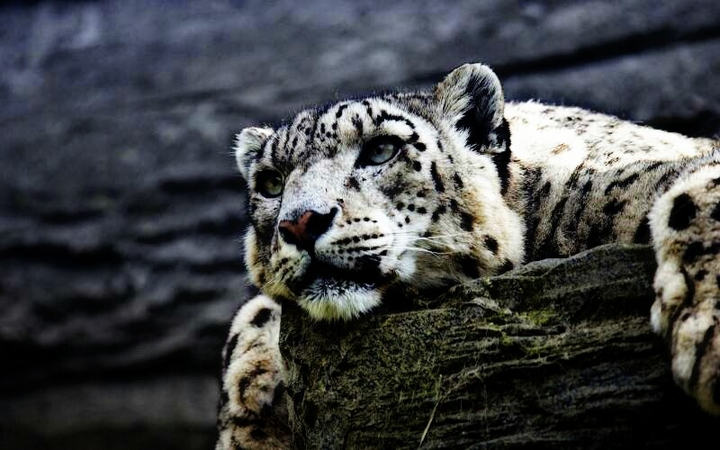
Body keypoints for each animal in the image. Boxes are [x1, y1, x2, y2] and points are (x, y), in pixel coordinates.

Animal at [215, 63, 720, 449]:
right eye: (271, 182)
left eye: (382, 148)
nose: (300, 222)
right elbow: (252, 316)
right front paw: (248, 429)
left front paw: (709, 343)